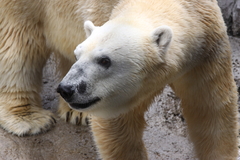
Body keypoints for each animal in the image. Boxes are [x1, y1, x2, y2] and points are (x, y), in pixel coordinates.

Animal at [57, 0, 238, 159]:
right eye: (78, 55)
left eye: (104, 60)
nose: (67, 89)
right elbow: (119, 127)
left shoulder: (206, 51)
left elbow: (210, 109)